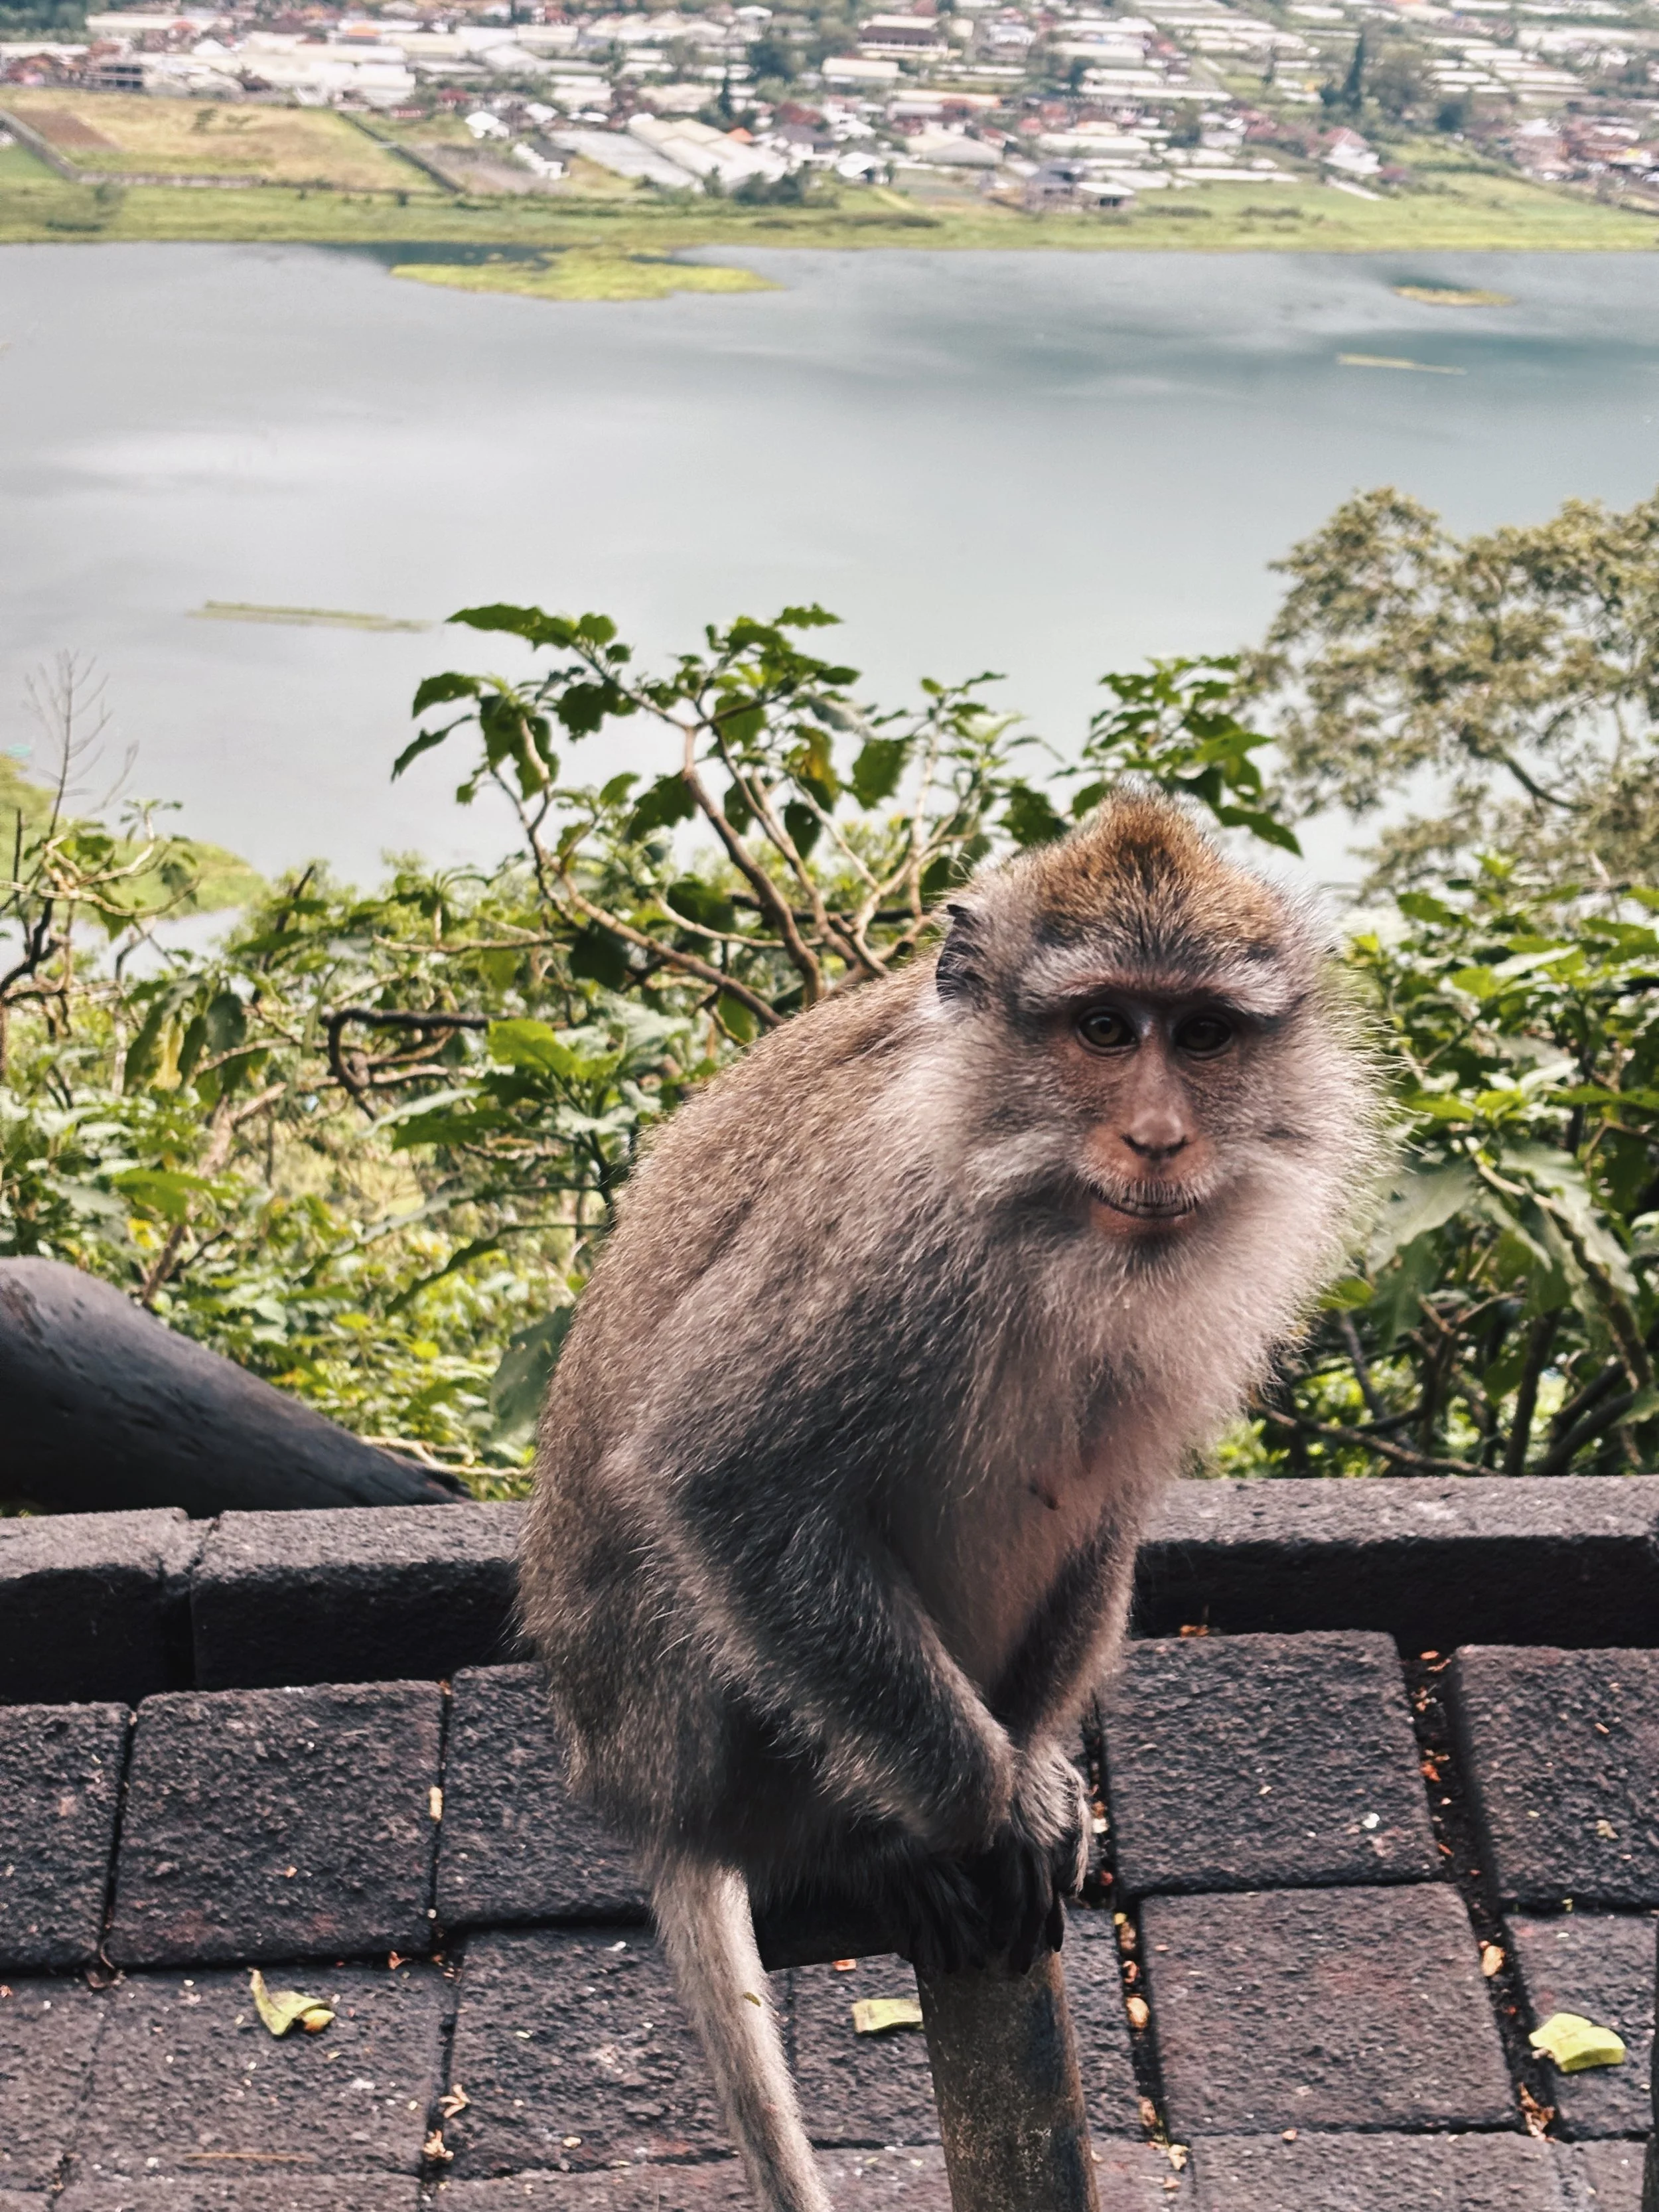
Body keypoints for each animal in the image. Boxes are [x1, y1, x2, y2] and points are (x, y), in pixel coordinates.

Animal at [517, 790, 1378, 2212]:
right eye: (1103, 1028)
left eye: (1201, 1033)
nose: (1159, 1137)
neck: (1036, 1198)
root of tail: (644, 1799)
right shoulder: (883, 1227)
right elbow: (722, 1470)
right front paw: (982, 1806)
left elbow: (1108, 1507)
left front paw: (1030, 1775)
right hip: (697, 1728)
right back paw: (871, 1850)